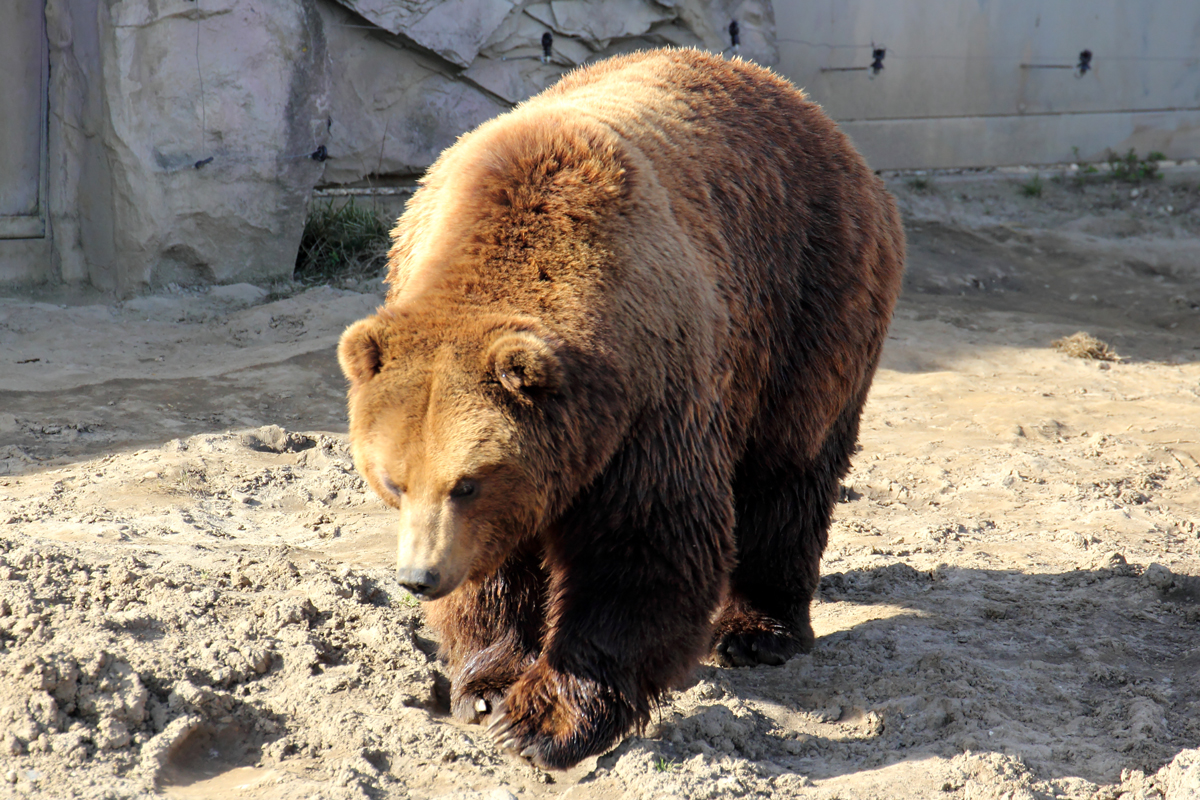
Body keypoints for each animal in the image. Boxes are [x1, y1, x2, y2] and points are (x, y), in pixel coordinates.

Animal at [336, 48, 902, 767]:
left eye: (466, 482)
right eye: (392, 480)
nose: (418, 576)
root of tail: (816, 114)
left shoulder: (649, 391)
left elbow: (644, 546)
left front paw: (543, 719)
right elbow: (496, 568)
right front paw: (487, 686)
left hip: (808, 296)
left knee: (790, 467)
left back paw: (758, 628)